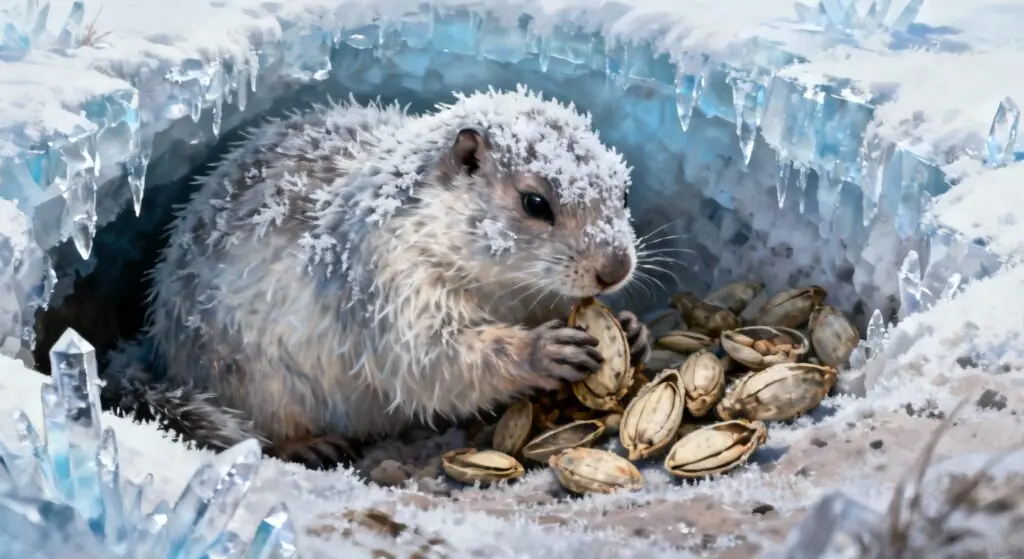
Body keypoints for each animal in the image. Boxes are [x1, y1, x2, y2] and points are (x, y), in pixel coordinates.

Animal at [102, 86, 652, 470]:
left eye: (624, 190)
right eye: (535, 203)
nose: (616, 268)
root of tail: (156, 352)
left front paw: (632, 330)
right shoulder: (389, 277)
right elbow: (429, 354)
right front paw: (544, 351)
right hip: (254, 381)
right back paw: (312, 446)